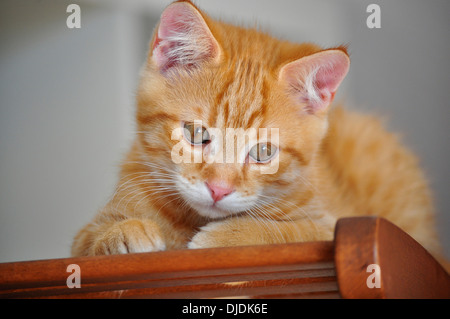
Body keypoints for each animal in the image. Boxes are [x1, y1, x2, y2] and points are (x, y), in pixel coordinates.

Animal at [71, 0, 440, 258]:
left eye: (264, 151)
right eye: (196, 134)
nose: (218, 189)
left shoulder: (330, 224)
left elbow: (289, 232)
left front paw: (228, 235)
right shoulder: (82, 238)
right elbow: (89, 238)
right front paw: (122, 232)